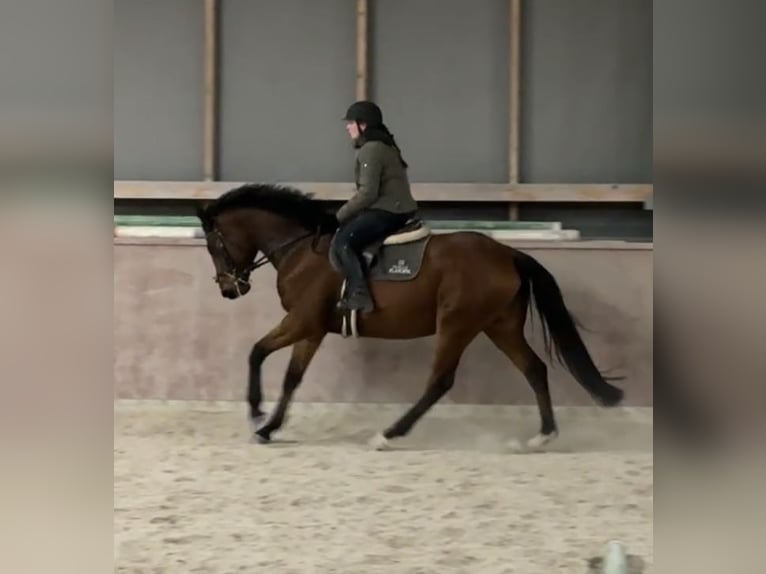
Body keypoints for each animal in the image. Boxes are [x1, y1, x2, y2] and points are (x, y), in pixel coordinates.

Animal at [195, 183, 624, 450]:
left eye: (215, 245)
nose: (229, 289)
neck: (303, 251)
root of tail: (508, 253)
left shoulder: (303, 322)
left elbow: (258, 353)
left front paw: (257, 415)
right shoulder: (311, 330)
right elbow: (289, 375)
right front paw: (267, 425)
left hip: (457, 325)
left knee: (440, 381)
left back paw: (388, 435)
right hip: (499, 326)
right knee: (534, 369)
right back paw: (542, 436)